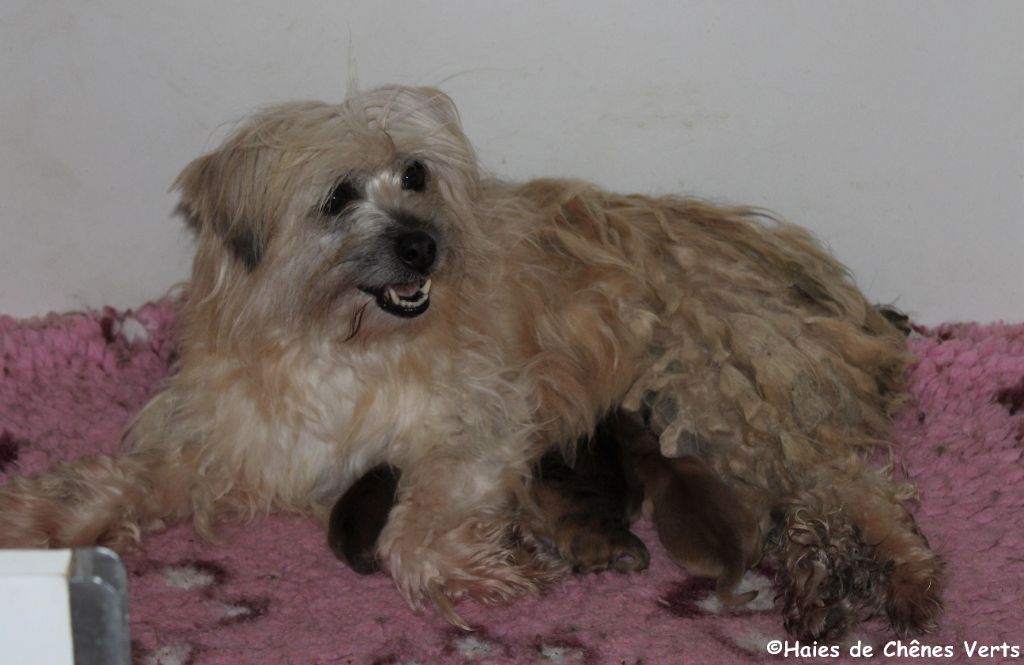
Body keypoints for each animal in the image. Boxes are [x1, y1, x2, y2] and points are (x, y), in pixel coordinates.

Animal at [0, 85, 942, 635]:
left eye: (414, 173)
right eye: (338, 196)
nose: (424, 245)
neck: (333, 339)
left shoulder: (481, 421)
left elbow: (414, 531)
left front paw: (486, 564)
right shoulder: (229, 441)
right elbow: (116, 482)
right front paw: (36, 518)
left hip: (728, 391)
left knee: (854, 484)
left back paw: (897, 577)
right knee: (815, 497)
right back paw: (822, 582)